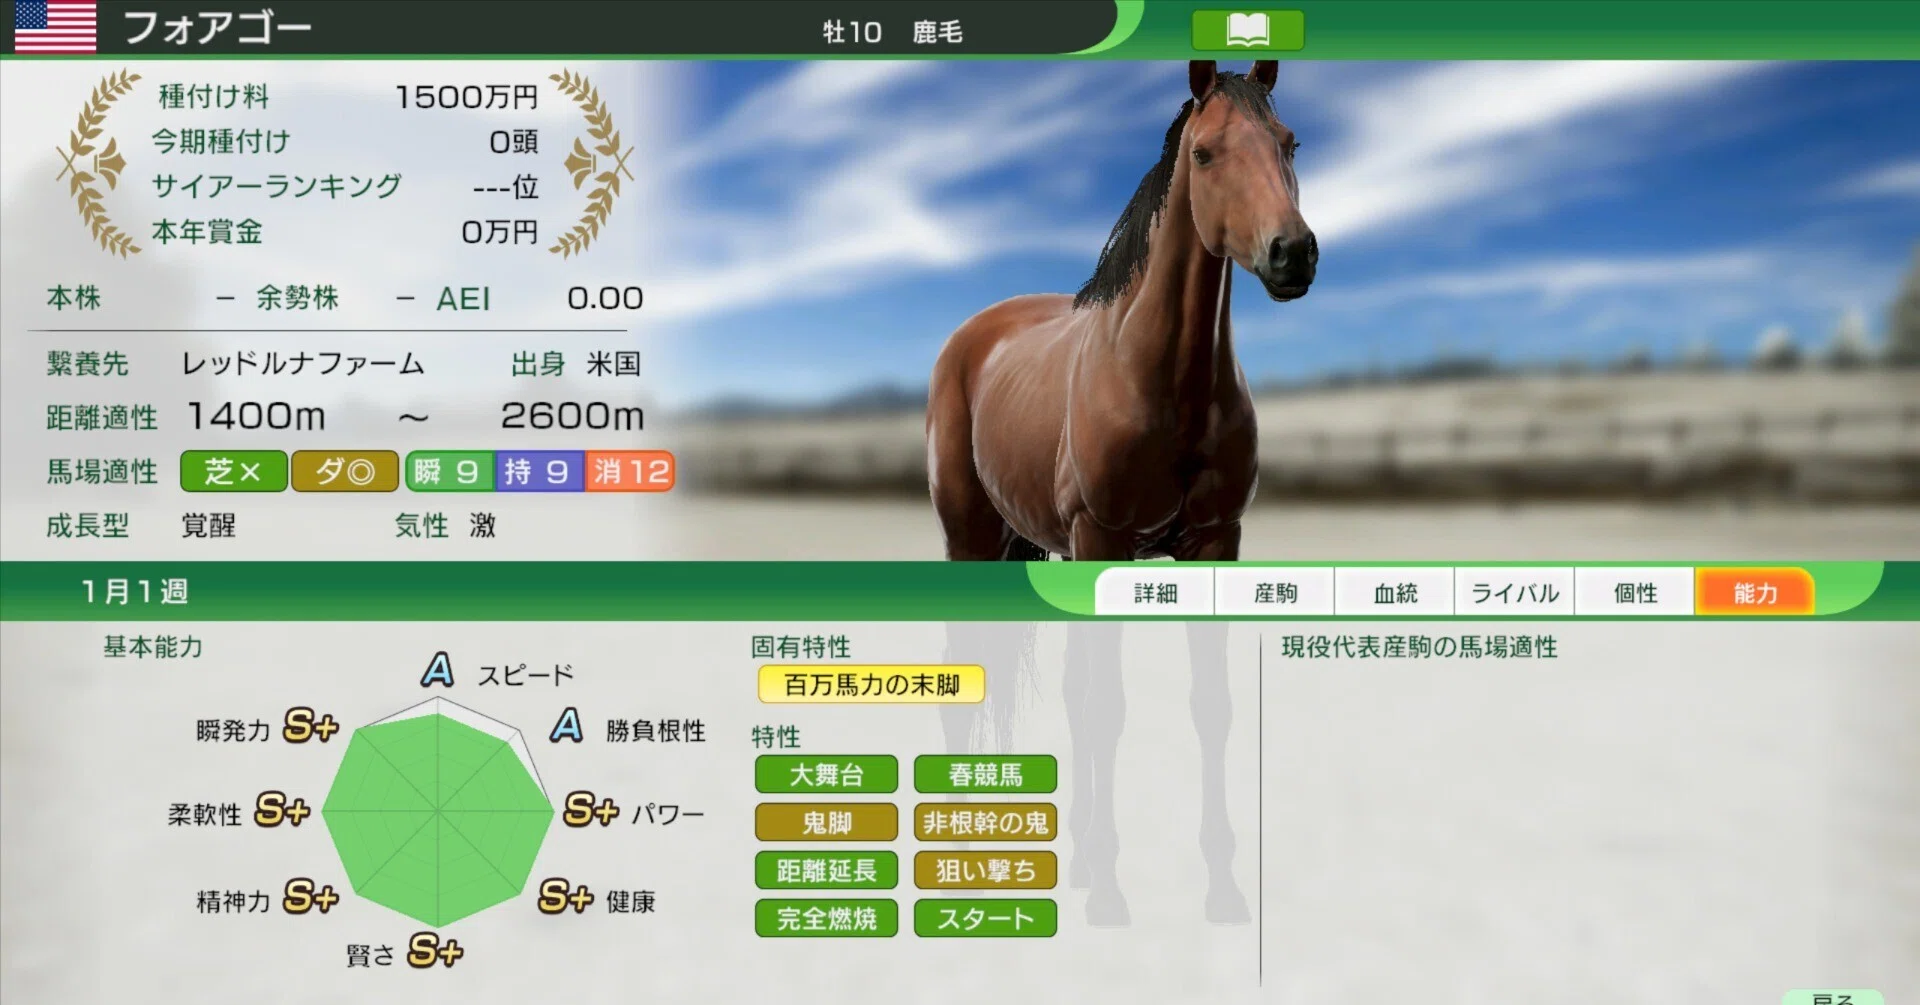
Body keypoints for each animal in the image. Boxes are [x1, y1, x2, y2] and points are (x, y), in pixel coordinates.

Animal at [927, 60, 1316, 926]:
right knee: (968, 672)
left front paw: (1222, 886)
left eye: (1288, 142)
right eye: (1205, 153)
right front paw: (1108, 889)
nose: (1293, 254)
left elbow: (1209, 707)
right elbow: (1105, 705)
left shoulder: (1215, 543)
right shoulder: (1099, 540)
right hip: (970, 538)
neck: (1164, 380)